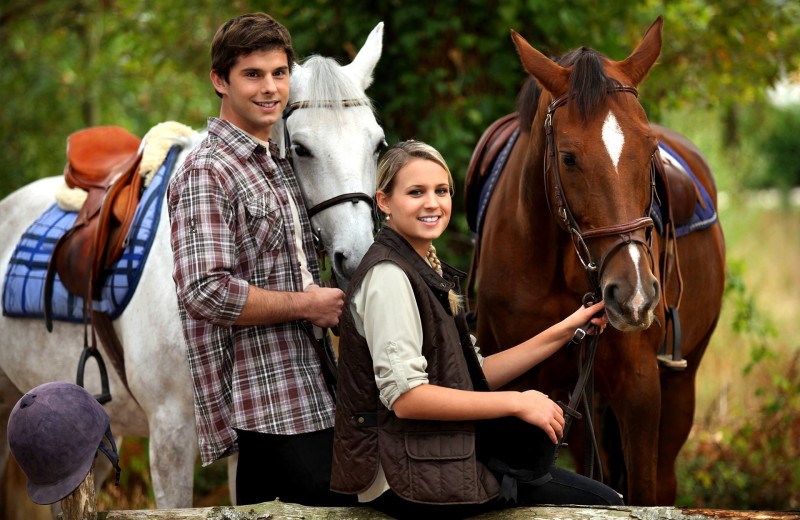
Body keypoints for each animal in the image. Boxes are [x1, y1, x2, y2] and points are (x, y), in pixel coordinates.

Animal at [472, 16, 728, 504]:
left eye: (650, 151)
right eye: (569, 158)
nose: (634, 297)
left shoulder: (640, 387)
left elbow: (643, 492)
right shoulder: (517, 383)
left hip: (679, 384)